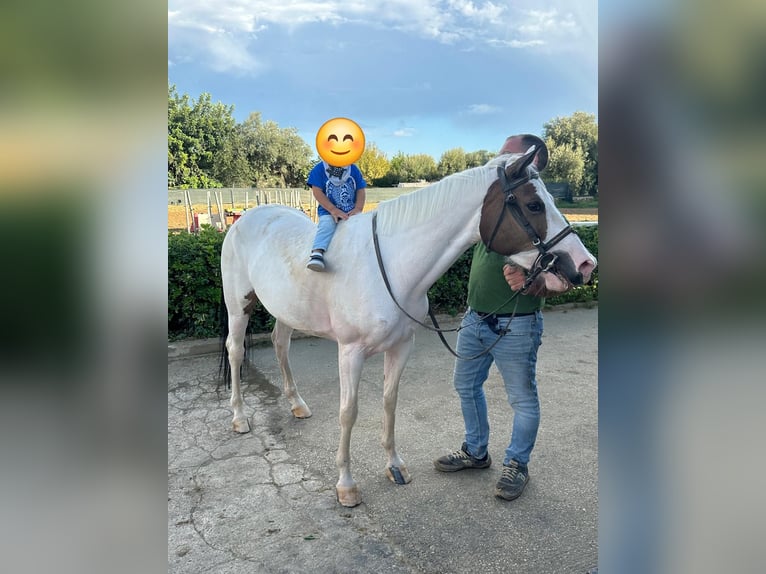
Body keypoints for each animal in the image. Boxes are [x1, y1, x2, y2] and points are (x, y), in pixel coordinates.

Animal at [220, 144, 597, 507]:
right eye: (534, 204)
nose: (584, 263)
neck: (392, 264)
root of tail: (244, 220)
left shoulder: (401, 347)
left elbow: (389, 402)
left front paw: (395, 466)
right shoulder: (350, 352)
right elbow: (348, 412)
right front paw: (346, 485)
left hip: (286, 311)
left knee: (280, 344)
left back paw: (297, 404)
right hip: (238, 307)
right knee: (236, 352)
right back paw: (238, 417)